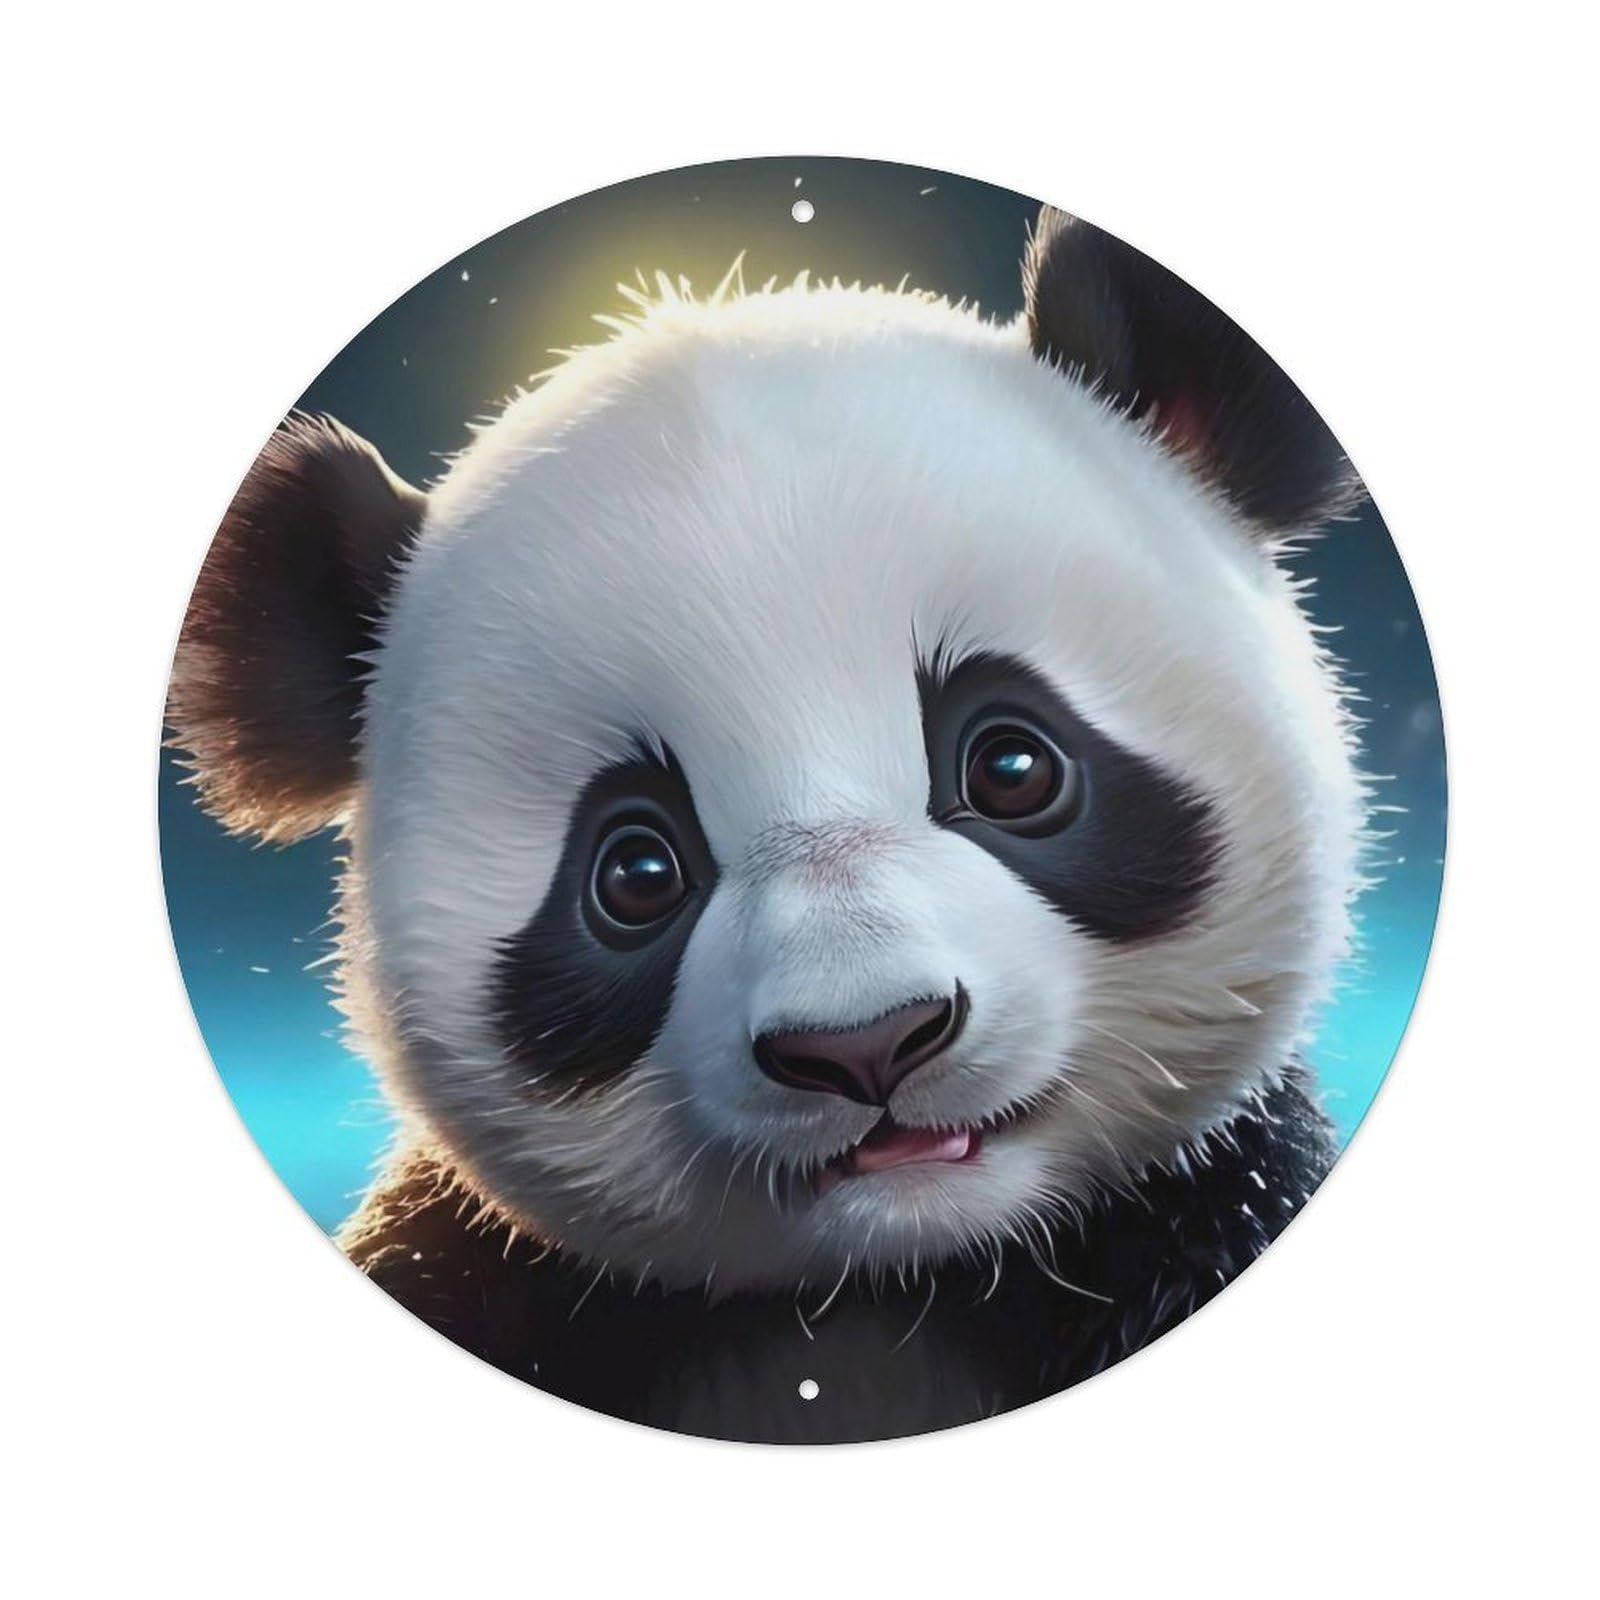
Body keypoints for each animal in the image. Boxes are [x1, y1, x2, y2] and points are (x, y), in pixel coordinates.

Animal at [168, 208, 1367, 1443]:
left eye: (1012, 765)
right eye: (635, 872)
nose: (866, 1041)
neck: (896, 1281)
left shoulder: (1206, 1208)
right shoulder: (503, 1277)